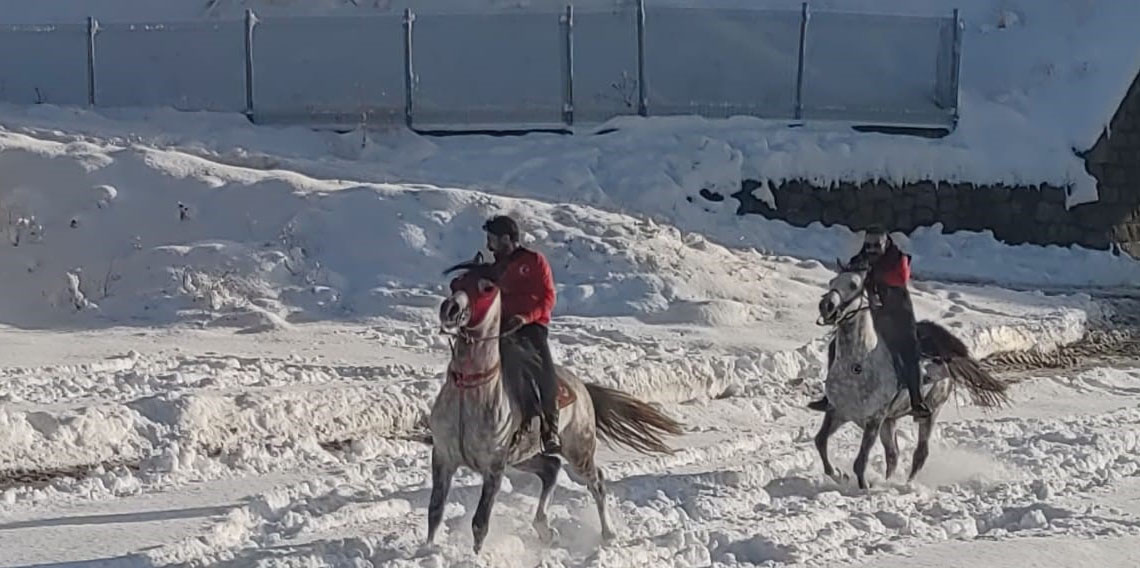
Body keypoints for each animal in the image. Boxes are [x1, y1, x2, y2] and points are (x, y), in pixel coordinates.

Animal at [426, 255, 674, 552]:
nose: (449, 309)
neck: (471, 393)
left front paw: (475, 556)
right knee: (551, 469)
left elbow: (480, 524)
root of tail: (583, 388)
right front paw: (426, 550)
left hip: (578, 451)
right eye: (456, 282)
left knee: (597, 482)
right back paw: (545, 529)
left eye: (486, 288)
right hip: (524, 457)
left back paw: (608, 534)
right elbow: (435, 512)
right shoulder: (443, 458)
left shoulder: (494, 468)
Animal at [811, 262, 1007, 488]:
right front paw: (837, 474)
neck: (858, 365)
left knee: (921, 453)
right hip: (890, 421)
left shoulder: (874, 419)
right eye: (832, 282)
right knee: (893, 454)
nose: (826, 306)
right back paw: (888, 480)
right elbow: (820, 442)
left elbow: (860, 462)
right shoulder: (838, 412)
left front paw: (864, 487)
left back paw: (907, 484)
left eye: (853, 284)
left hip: (931, 412)